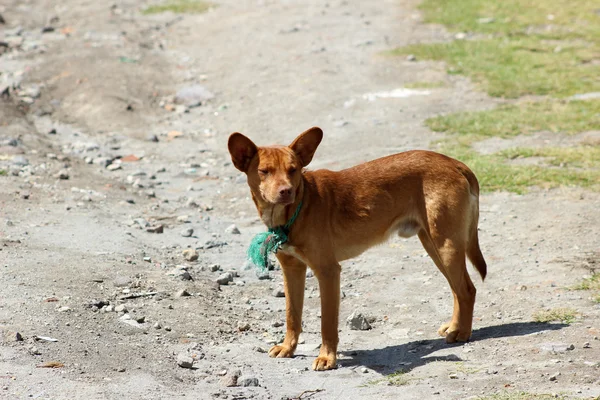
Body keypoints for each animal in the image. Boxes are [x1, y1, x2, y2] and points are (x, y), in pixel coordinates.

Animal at [227, 126, 486, 370]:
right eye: (264, 171)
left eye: (293, 170)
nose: (286, 191)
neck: (296, 210)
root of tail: (454, 163)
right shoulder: (292, 270)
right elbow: (292, 315)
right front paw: (288, 347)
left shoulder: (328, 271)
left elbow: (327, 323)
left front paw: (327, 357)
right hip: (434, 245)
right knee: (456, 289)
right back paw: (453, 326)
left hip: (446, 245)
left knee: (467, 290)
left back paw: (462, 333)